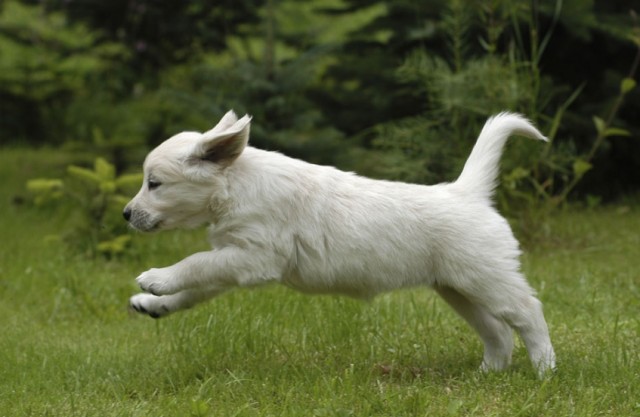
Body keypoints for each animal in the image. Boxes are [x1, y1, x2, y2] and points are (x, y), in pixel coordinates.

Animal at [124, 109, 556, 374]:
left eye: (154, 183)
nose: (126, 214)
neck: (236, 185)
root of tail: (467, 192)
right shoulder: (233, 258)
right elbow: (196, 286)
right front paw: (155, 303)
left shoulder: (254, 258)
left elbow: (194, 262)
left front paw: (156, 278)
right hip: (457, 288)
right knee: (497, 331)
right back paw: (487, 373)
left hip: (487, 277)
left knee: (528, 313)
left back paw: (545, 370)